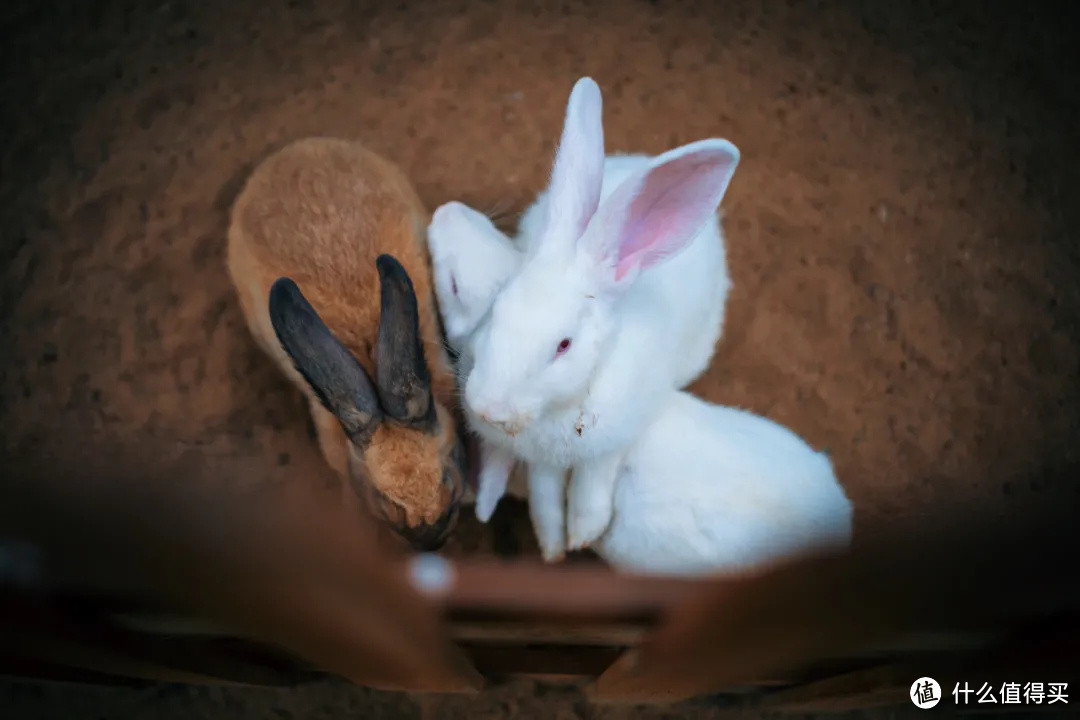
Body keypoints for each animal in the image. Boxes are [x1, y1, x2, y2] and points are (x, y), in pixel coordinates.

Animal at [460, 76, 738, 557]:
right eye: (497, 310)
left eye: (564, 345)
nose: (487, 409)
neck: (560, 407)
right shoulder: (541, 464)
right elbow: (544, 499)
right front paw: (553, 546)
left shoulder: (613, 442)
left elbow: (591, 486)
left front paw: (583, 534)